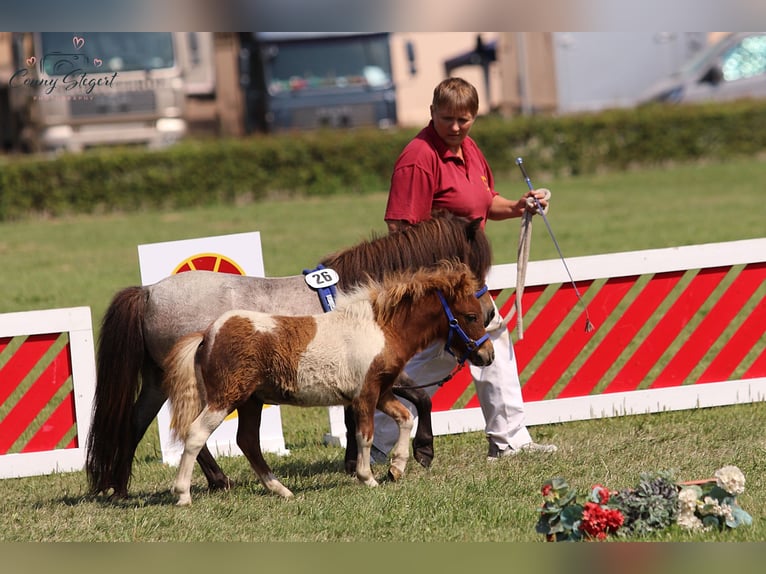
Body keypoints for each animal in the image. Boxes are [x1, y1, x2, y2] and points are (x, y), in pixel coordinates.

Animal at [164, 260, 496, 504]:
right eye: (470, 316)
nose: (487, 355)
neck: (379, 327)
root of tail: (207, 335)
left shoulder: (381, 391)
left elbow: (405, 418)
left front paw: (397, 468)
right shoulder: (365, 395)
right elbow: (365, 435)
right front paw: (368, 478)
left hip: (251, 402)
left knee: (247, 441)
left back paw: (281, 490)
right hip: (225, 398)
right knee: (197, 434)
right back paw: (183, 495)